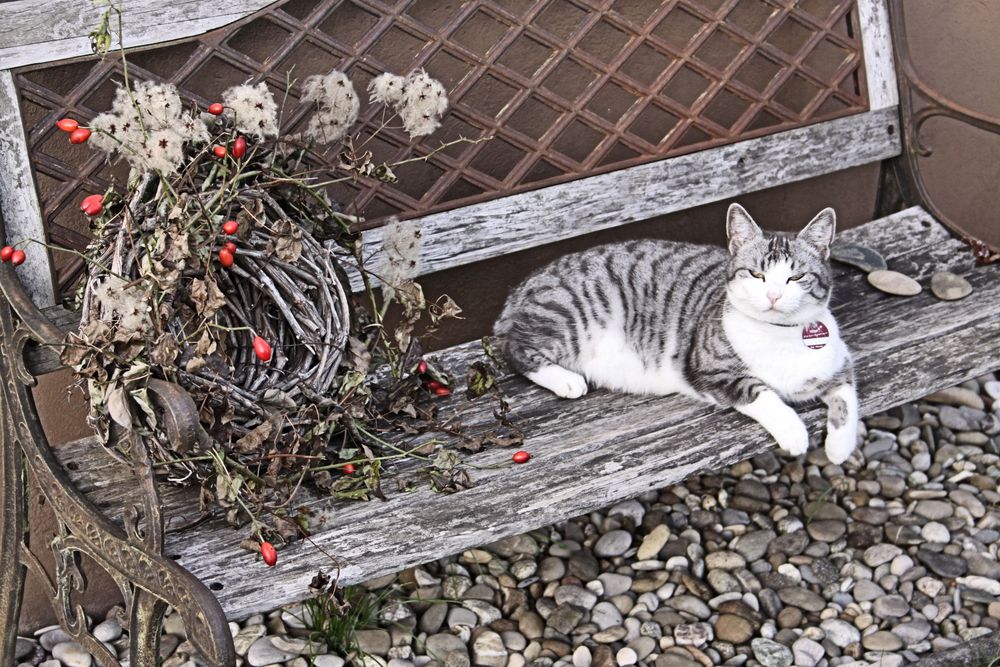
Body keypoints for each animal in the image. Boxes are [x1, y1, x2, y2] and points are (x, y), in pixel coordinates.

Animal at [492, 204, 860, 464]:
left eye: (795, 277)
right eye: (757, 274)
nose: (773, 296)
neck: (778, 335)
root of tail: (530, 280)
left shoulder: (838, 364)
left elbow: (846, 399)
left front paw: (839, 449)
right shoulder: (711, 369)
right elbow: (762, 394)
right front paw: (794, 433)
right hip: (571, 314)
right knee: (515, 348)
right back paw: (565, 380)